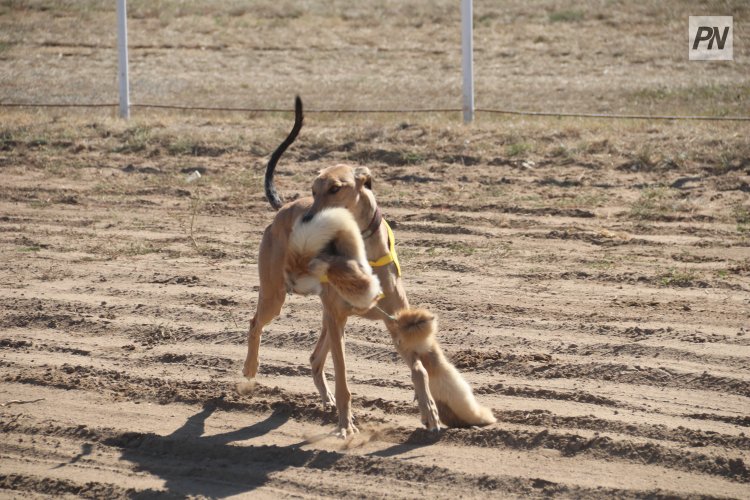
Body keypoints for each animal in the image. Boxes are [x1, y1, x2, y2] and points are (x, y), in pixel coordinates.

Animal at [244, 95, 496, 436]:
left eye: (335, 188)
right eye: (313, 190)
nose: (307, 220)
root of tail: (283, 208)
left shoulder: (396, 321)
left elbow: (419, 369)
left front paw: (430, 411)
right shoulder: (340, 318)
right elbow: (344, 379)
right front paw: (346, 426)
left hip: (328, 316)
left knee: (315, 357)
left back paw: (325, 399)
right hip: (278, 296)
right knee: (256, 324)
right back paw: (249, 370)